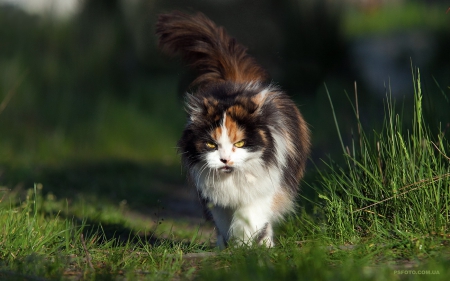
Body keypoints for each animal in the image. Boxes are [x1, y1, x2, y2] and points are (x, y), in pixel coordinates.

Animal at [156, 11, 310, 247]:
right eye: (211, 145)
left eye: (240, 143)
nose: (225, 160)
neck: (232, 180)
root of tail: (235, 81)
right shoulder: (215, 200)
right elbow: (224, 223)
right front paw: (231, 245)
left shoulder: (264, 190)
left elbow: (250, 219)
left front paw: (243, 245)